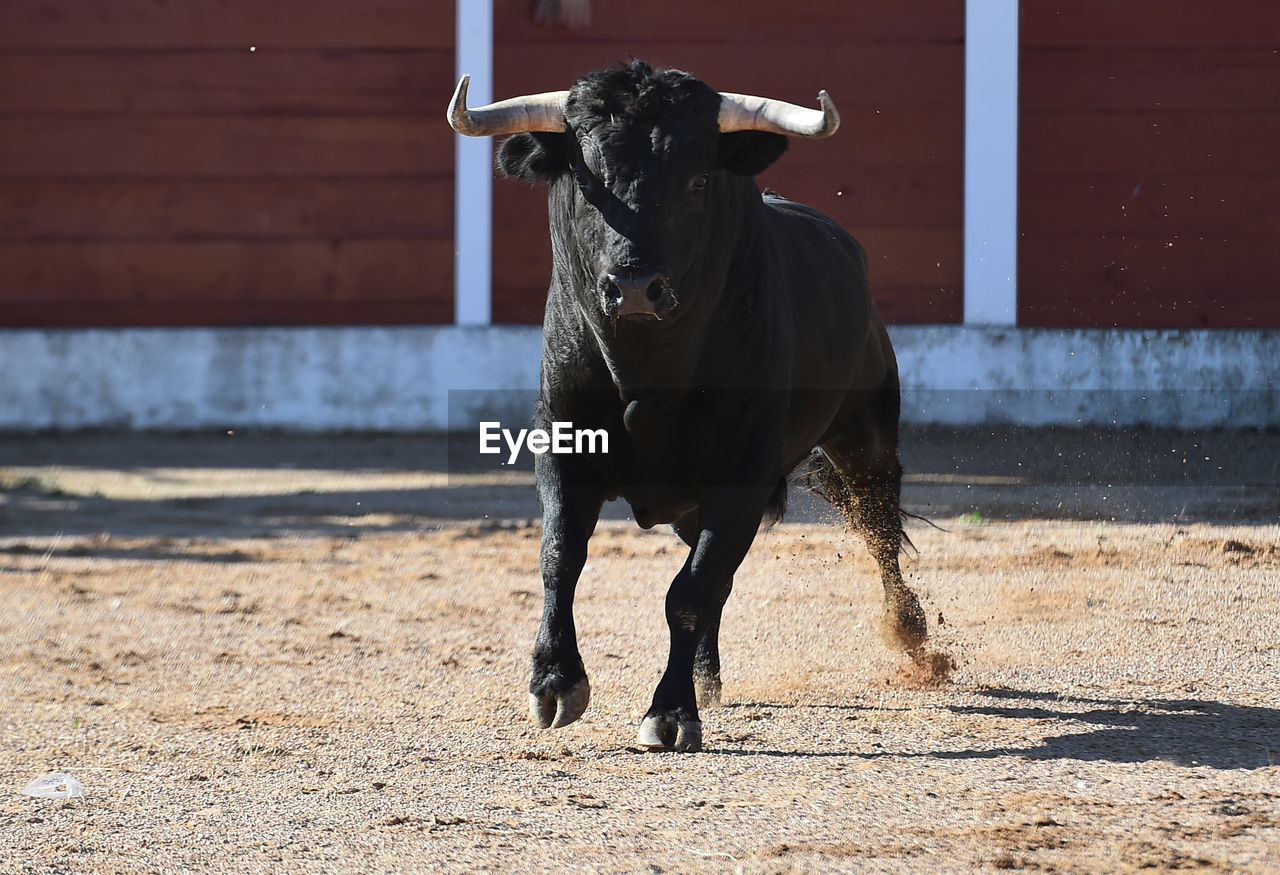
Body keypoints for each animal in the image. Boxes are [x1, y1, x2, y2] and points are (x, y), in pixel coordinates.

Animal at [450, 59, 931, 752]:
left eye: (698, 178)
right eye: (586, 178)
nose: (633, 287)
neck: (647, 372)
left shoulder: (745, 470)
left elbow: (690, 591)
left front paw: (670, 712)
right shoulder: (562, 442)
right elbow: (560, 556)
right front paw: (555, 683)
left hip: (863, 432)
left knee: (877, 523)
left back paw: (912, 636)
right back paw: (707, 676)